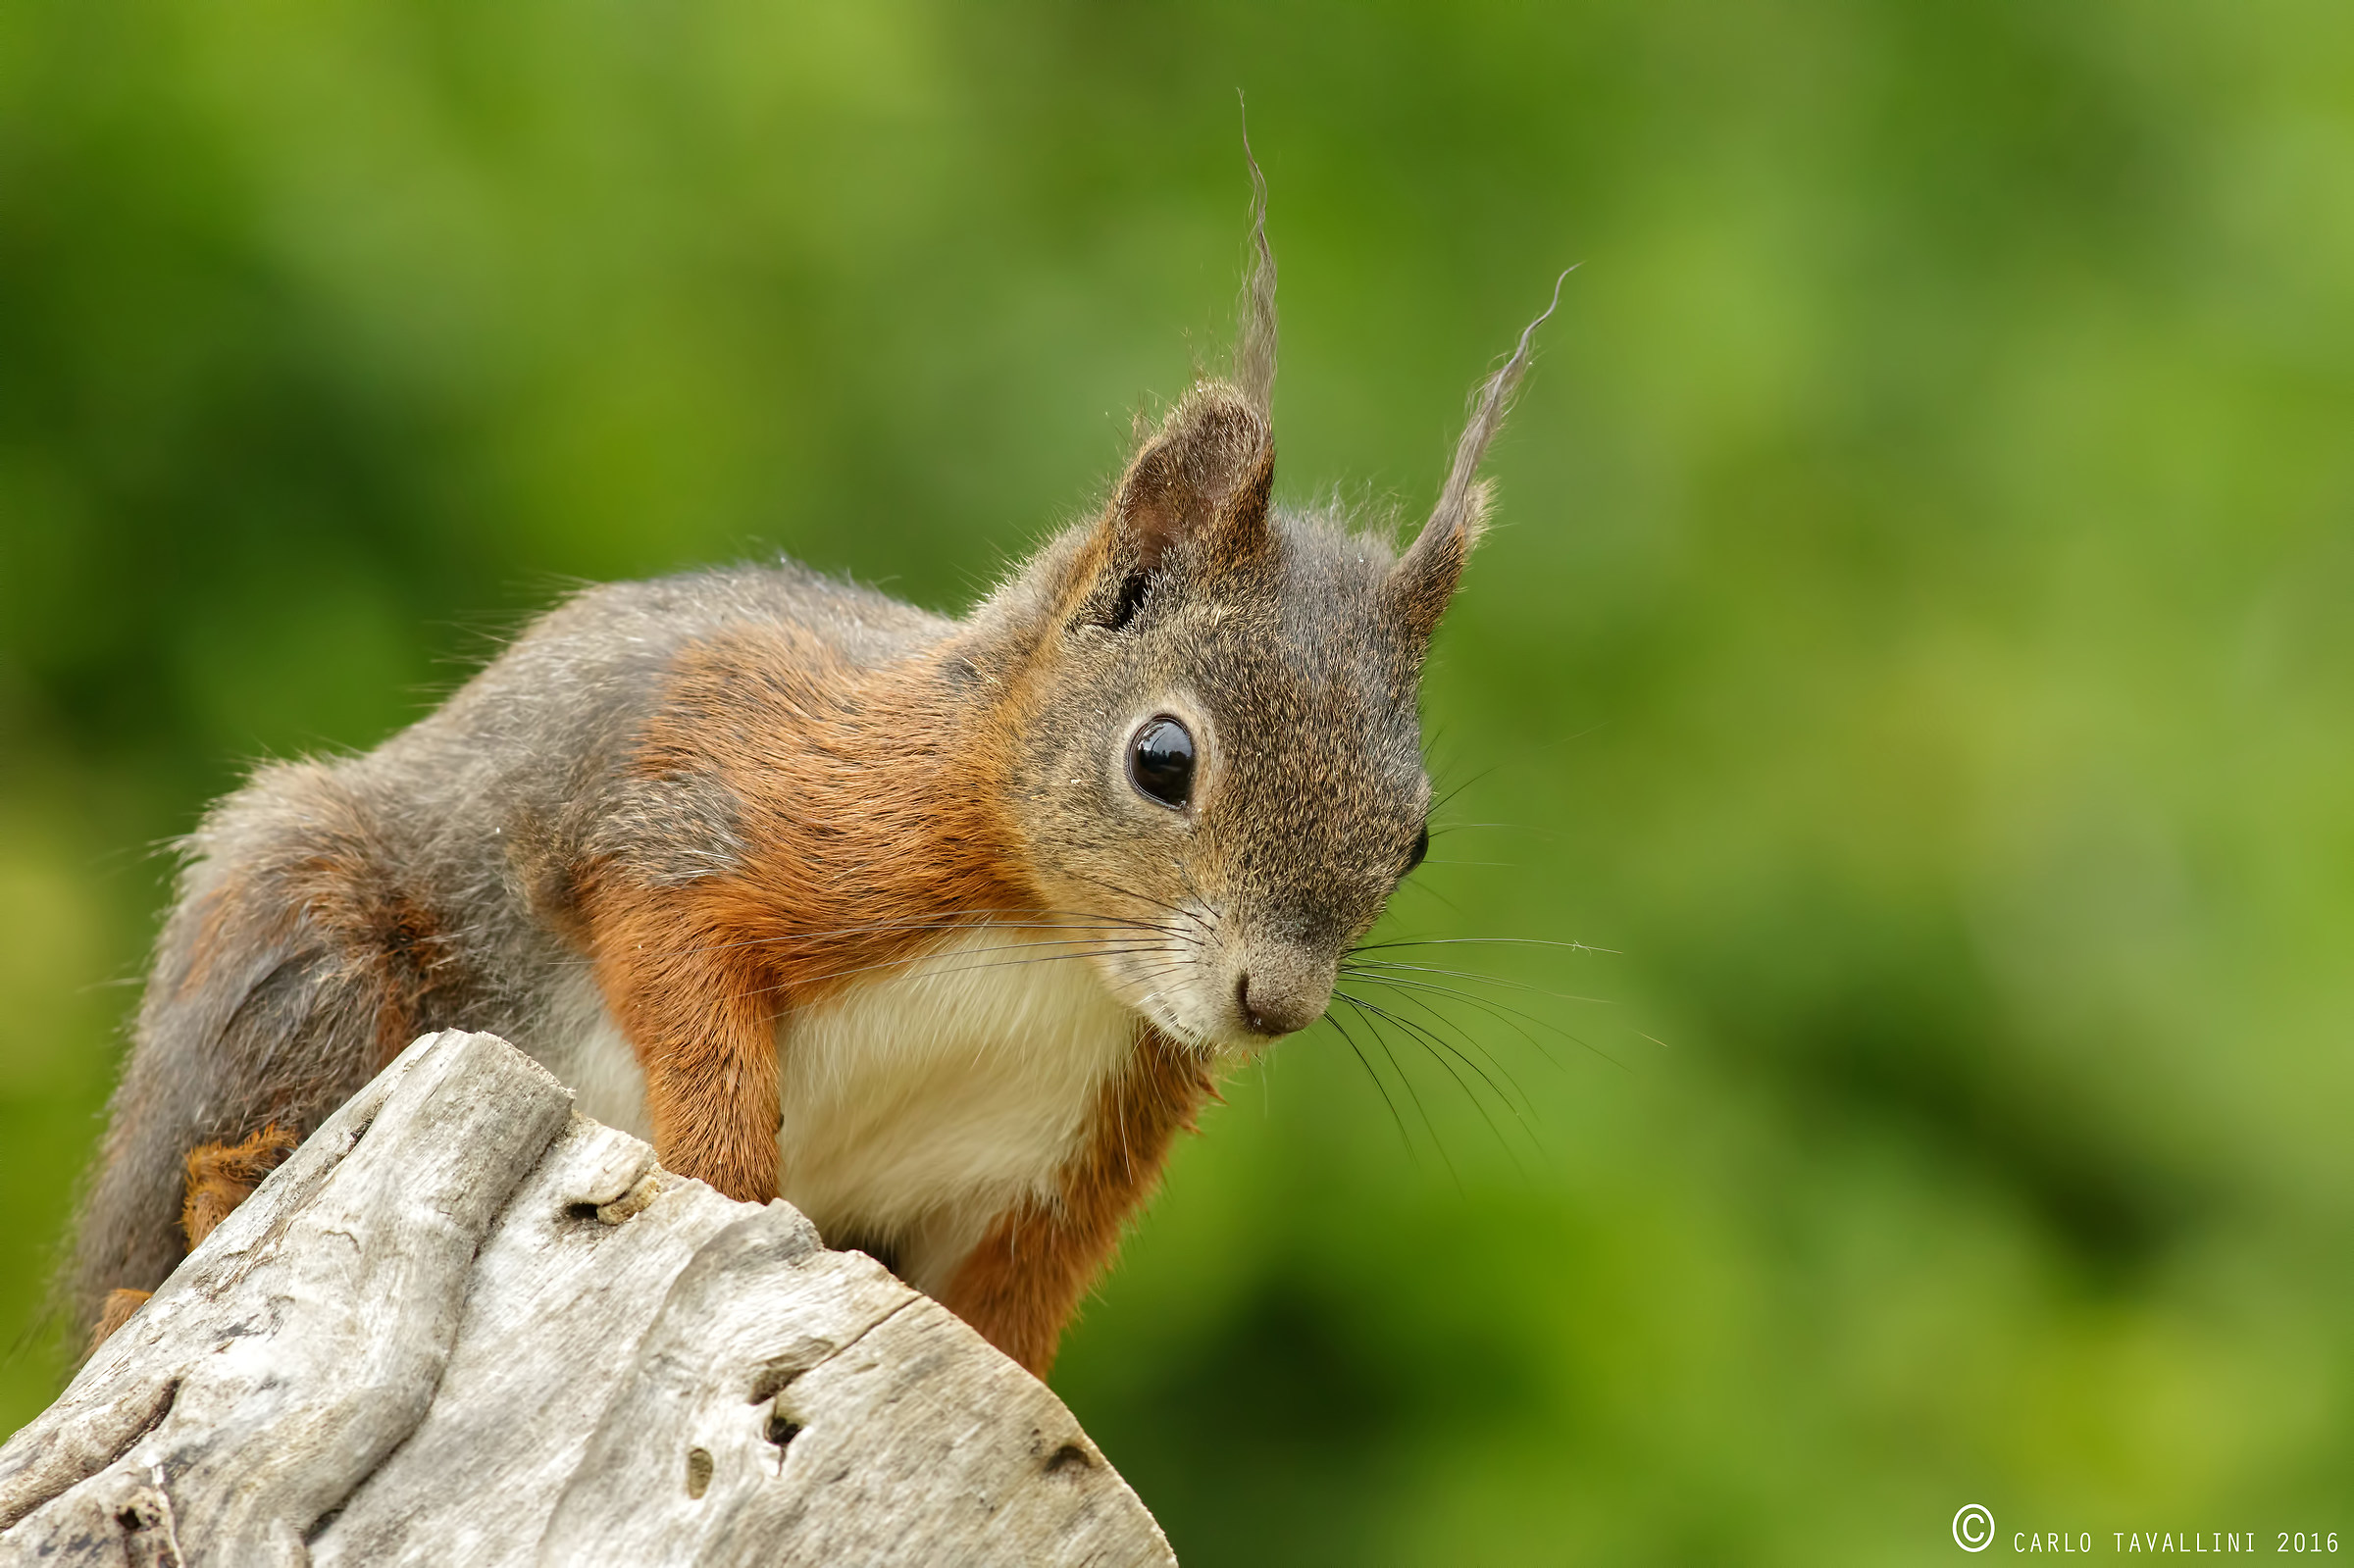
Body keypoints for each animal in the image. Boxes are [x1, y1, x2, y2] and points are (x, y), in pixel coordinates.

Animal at [66, 167, 1558, 1378]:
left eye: (1418, 838)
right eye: (1163, 757)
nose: (1274, 1003)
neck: (1054, 955)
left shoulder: (1072, 1154)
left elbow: (1003, 1312)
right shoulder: (718, 799)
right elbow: (681, 974)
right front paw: (726, 1176)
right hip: (307, 943)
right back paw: (197, 1218)